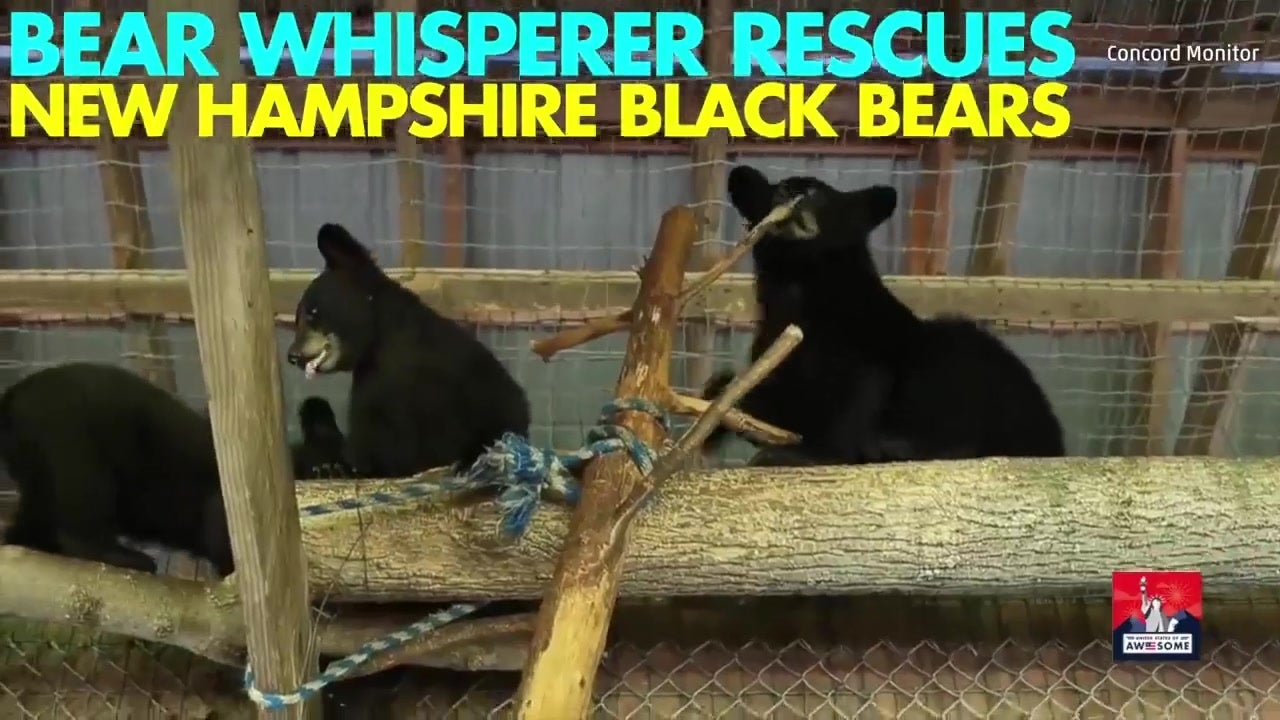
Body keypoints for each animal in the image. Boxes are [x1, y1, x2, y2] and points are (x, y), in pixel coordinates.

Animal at [0, 362, 233, 576]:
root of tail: (15, 394)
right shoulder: (218, 507)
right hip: (75, 454)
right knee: (80, 534)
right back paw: (129, 559)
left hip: (40, 484)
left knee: (26, 528)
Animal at [285, 223, 532, 478]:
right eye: (298, 317)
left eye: (312, 312)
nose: (292, 355)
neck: (379, 332)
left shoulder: (389, 379)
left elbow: (379, 451)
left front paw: (326, 461)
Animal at [700, 164, 1066, 466]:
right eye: (777, 187)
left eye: (818, 192)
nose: (792, 191)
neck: (798, 281)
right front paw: (720, 409)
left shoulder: (870, 344)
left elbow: (859, 396)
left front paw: (806, 455)